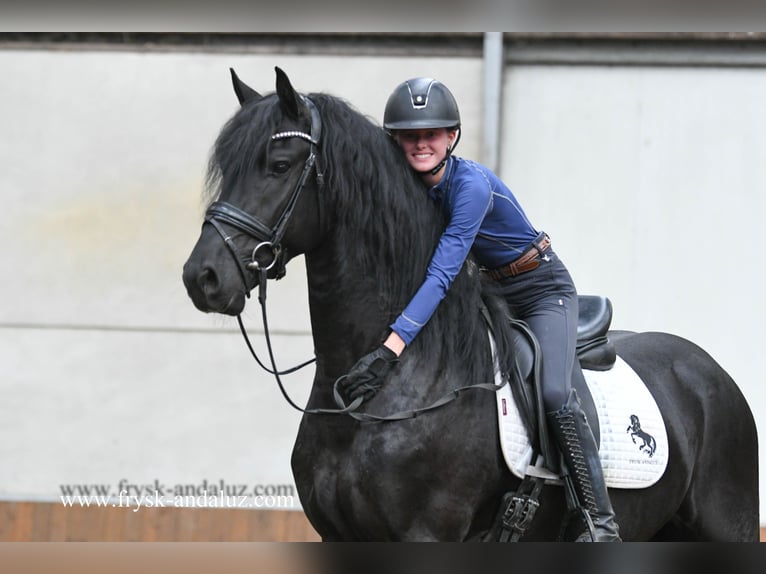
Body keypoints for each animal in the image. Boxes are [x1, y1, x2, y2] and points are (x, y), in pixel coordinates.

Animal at [182, 68, 760, 544]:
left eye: (279, 165)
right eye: (226, 169)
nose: (201, 278)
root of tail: (708, 372)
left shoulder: (425, 535)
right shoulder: (337, 536)